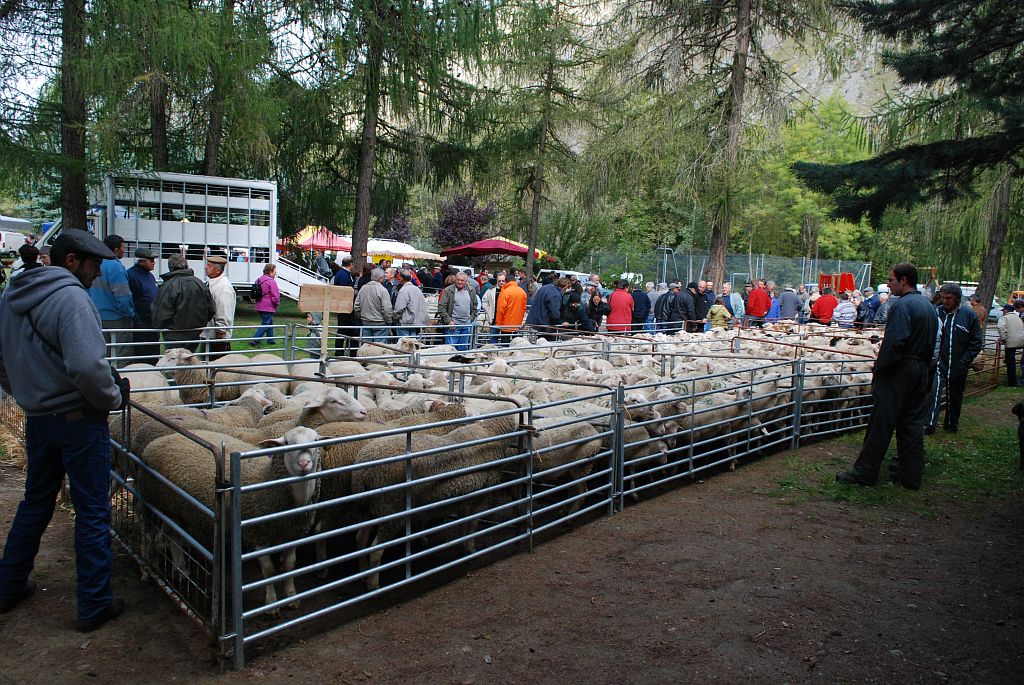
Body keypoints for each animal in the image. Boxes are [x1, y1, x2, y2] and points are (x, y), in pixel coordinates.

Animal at [135, 427, 319, 610]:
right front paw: (272, 603)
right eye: (286, 443)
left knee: (174, 536)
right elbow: (269, 570)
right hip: (151, 499)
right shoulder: (256, 534)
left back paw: (181, 571)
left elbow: (290, 565)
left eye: (316, 440)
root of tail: (158, 441)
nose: (304, 464)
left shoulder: (293, 534)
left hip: (176, 508)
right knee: (147, 533)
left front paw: (292, 596)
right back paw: (146, 569)